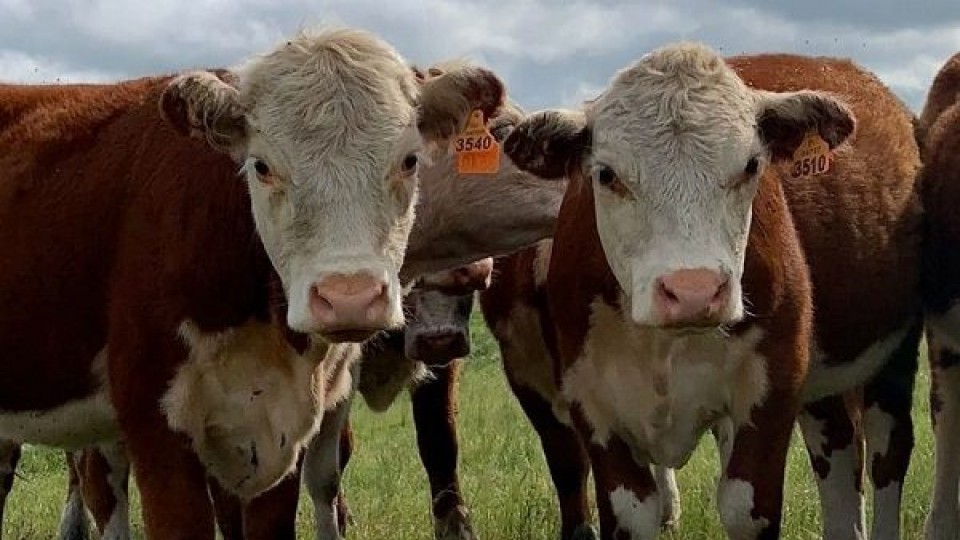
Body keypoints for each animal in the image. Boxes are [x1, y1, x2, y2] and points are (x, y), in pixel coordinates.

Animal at [480, 43, 924, 540]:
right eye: (607, 174)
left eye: (751, 165)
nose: (694, 291)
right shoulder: (590, 402)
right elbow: (628, 511)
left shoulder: (772, 389)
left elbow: (746, 509)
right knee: (839, 449)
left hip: (895, 354)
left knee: (887, 449)